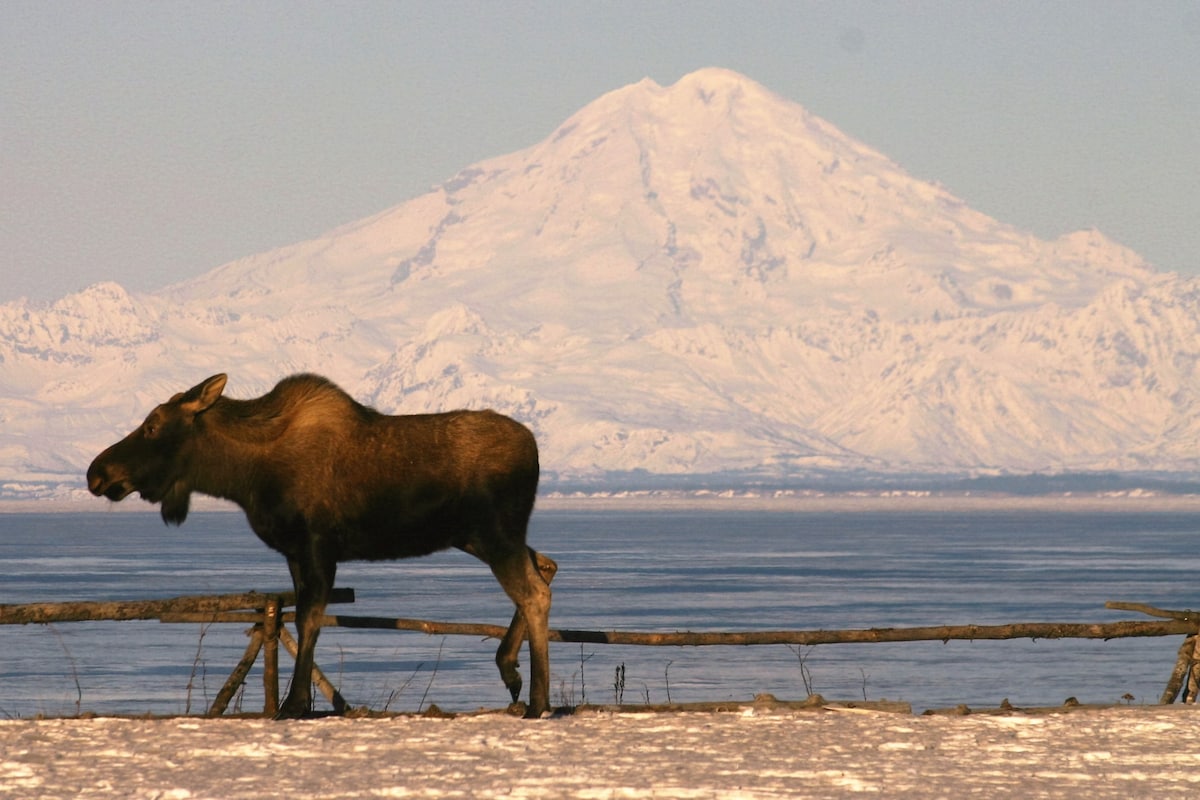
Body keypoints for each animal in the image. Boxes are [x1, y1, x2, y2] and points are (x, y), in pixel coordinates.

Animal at [88, 376, 556, 719]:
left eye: (152, 425)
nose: (97, 472)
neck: (243, 477)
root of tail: (536, 449)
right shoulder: (295, 553)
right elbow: (302, 618)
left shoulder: (316, 545)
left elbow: (309, 619)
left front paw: (293, 704)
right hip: (479, 536)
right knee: (546, 566)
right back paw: (510, 670)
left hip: (495, 533)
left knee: (534, 591)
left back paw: (538, 699)